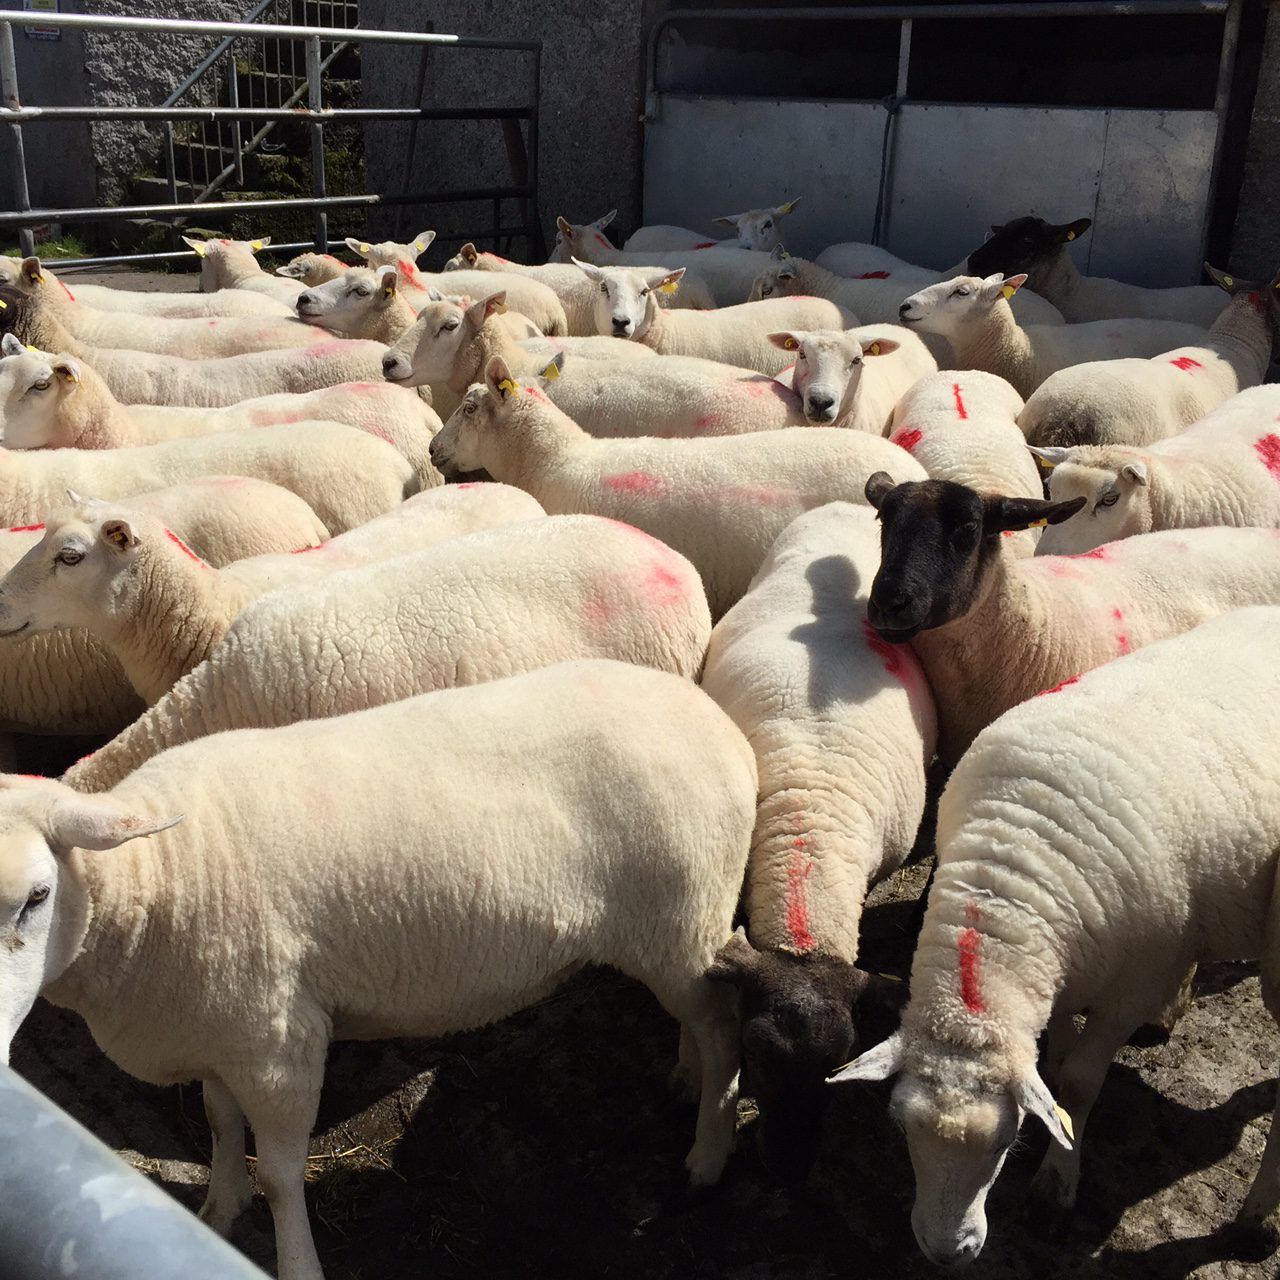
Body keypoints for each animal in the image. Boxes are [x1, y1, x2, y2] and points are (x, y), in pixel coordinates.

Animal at [0, 659, 754, 1279]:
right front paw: (218, 1210)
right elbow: (218, 1122)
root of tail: (721, 725)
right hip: (680, 934)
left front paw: (295, 1262)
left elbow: (280, 1177)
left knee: (722, 1029)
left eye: (37, 896)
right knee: (696, 1021)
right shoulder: (218, 1026)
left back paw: (707, 1156)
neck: (160, 876)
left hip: (683, 919)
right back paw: (685, 1080)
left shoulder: (276, 1043)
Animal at [830, 607, 1280, 1266]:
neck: (1011, 874)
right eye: (901, 1128)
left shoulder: (1130, 984)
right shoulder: (1069, 968)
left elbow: (1081, 1081)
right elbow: (1060, 1058)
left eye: (1005, 1143)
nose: (946, 1253)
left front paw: (1055, 1187)